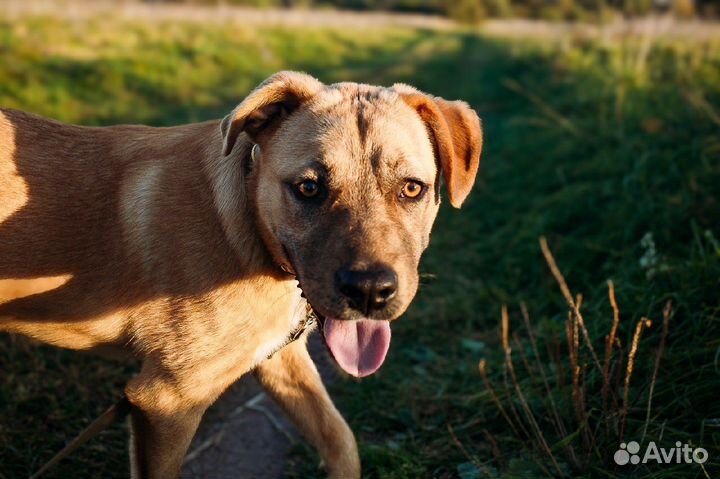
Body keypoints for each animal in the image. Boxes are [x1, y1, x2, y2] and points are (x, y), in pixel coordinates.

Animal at [1, 72, 484, 479]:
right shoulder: (165, 400)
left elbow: (340, 440)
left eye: (412, 188)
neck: (245, 227)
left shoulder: (277, 356)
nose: (369, 292)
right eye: (309, 188)